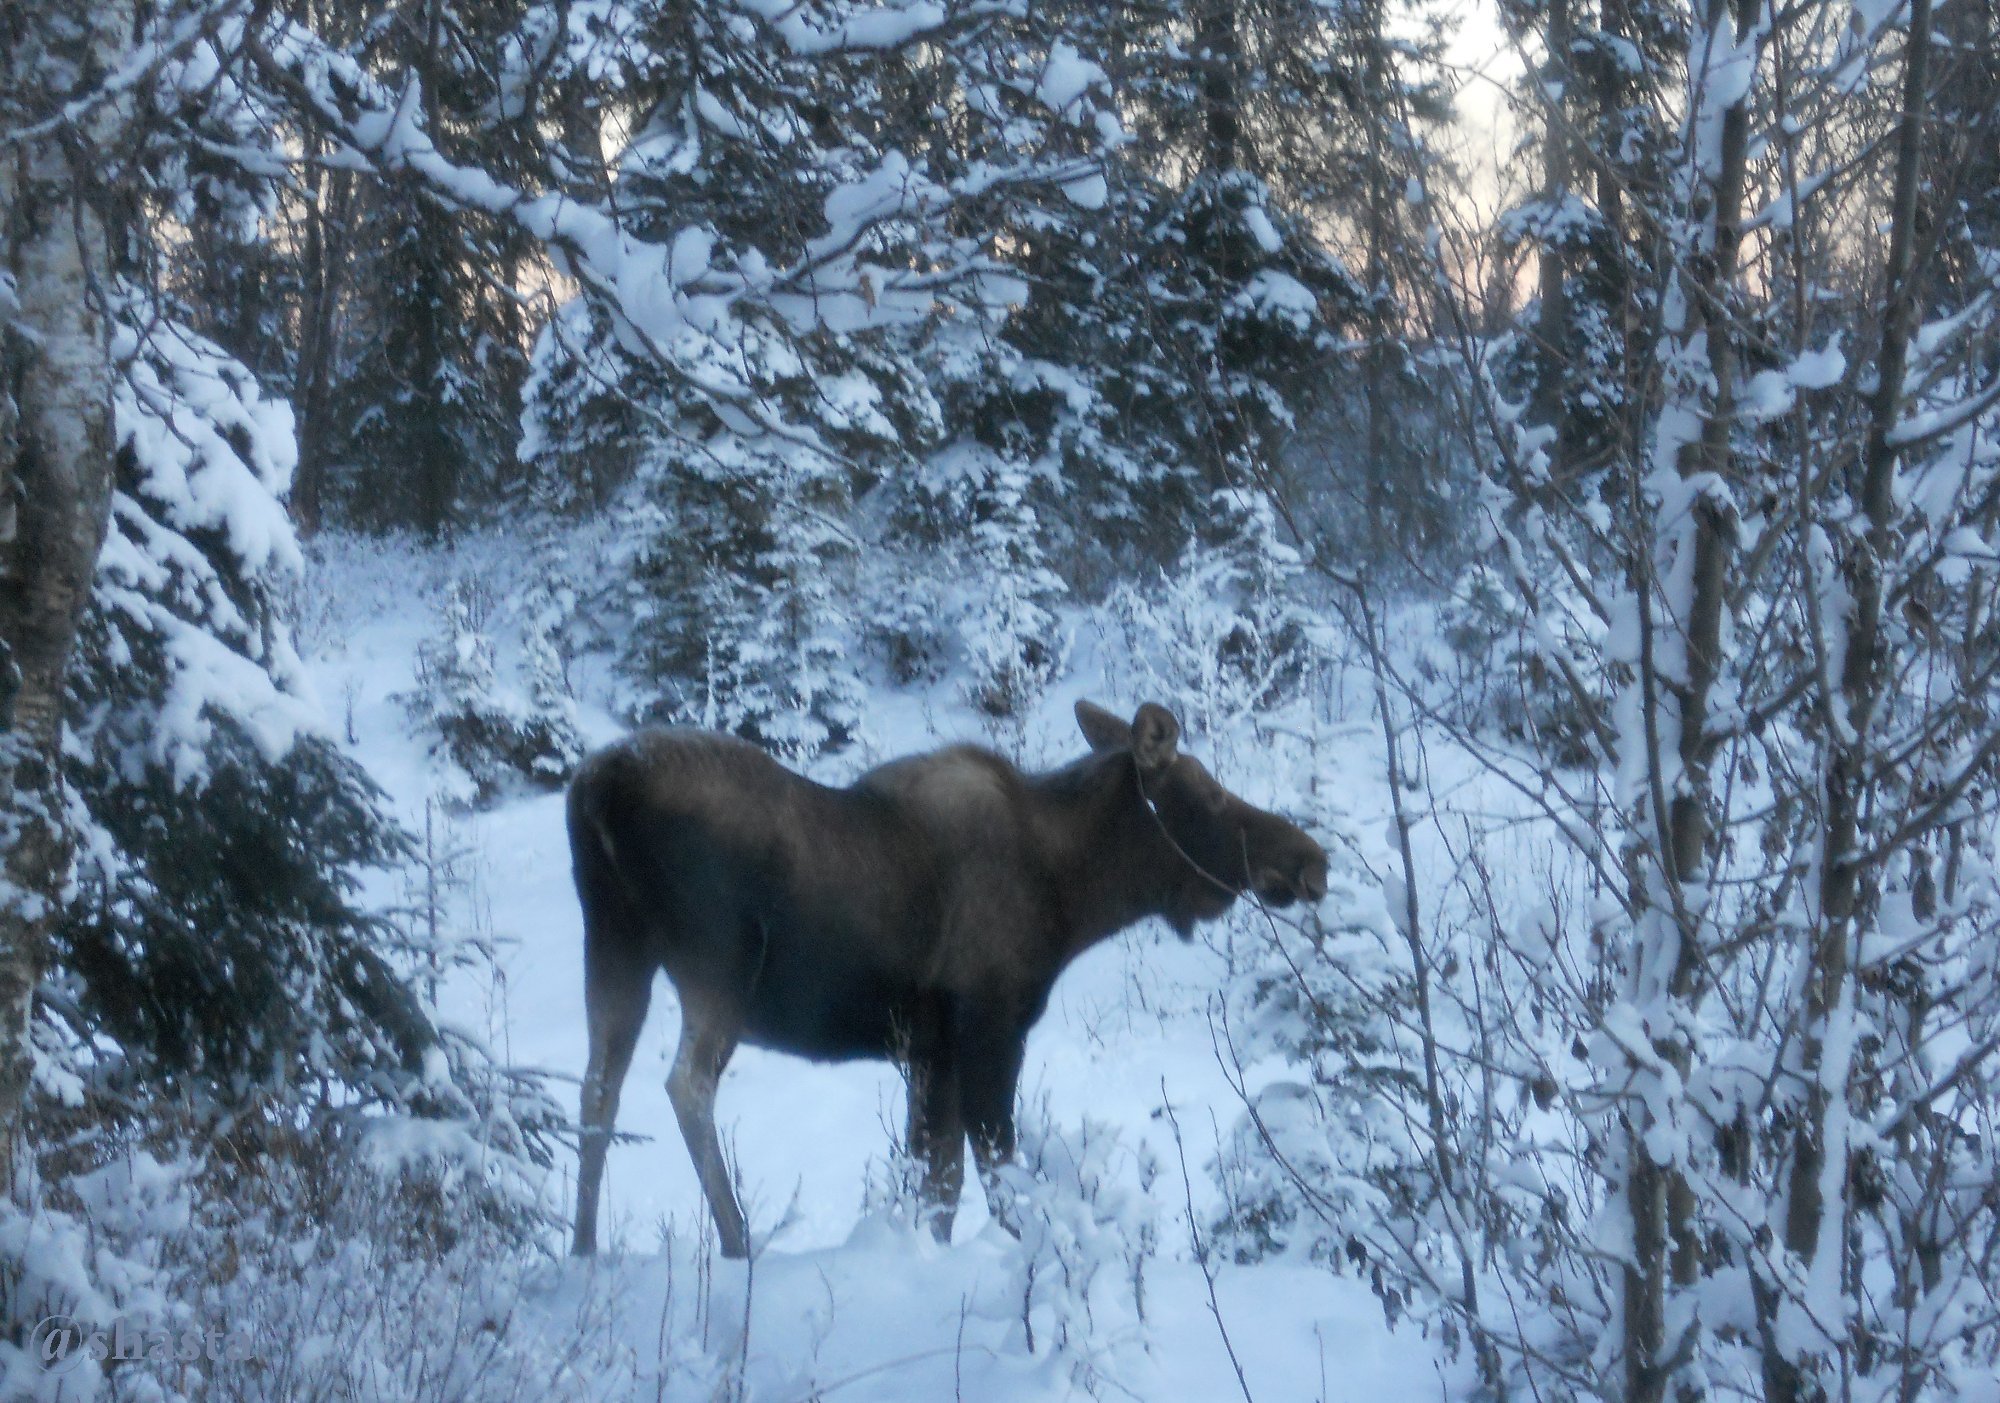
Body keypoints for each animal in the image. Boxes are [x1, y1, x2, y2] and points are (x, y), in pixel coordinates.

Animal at [572, 699, 1336, 1255]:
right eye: (1210, 795)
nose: (1311, 859)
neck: (1074, 895)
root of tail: (598, 791)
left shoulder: (928, 1049)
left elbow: (937, 1181)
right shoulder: (990, 1027)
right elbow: (996, 1170)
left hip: (614, 946)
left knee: (597, 1091)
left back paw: (581, 1251)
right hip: (720, 962)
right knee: (686, 1086)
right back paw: (738, 1244)